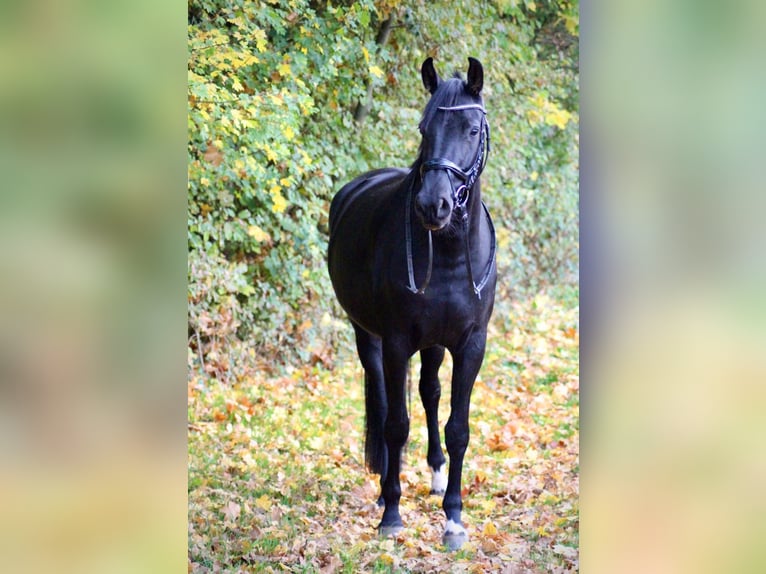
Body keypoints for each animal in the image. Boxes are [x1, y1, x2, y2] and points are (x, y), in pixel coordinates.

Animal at [328, 58, 498, 552]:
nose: (432, 205)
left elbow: (458, 428)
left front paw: (454, 518)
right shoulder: (398, 341)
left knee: (429, 392)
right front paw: (392, 513)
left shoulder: (470, 344)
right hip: (368, 336)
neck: (447, 253)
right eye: (425, 128)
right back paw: (387, 480)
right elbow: (395, 424)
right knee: (387, 404)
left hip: (435, 343)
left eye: (471, 129)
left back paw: (436, 474)